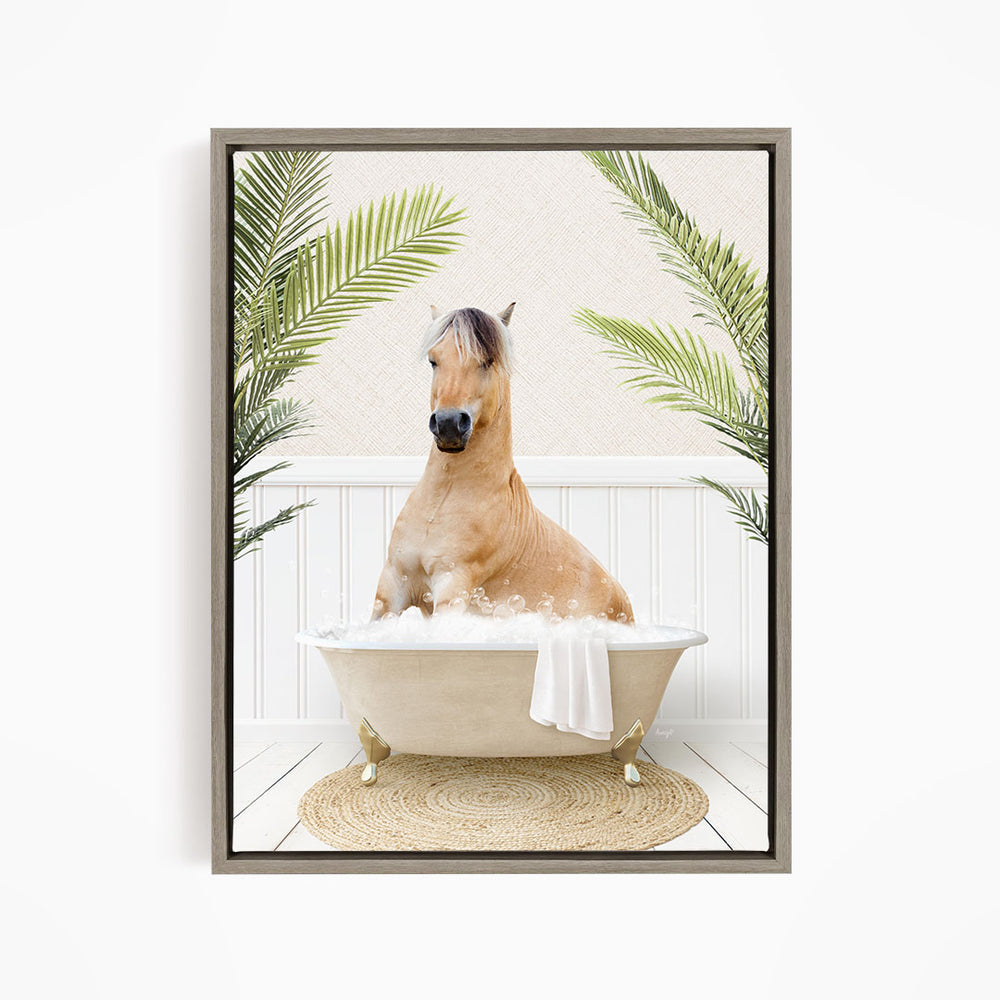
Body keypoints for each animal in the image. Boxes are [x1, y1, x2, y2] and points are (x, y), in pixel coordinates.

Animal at [372, 304, 634, 623]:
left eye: (487, 361)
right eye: (434, 360)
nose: (448, 424)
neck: (442, 501)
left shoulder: (452, 586)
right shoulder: (392, 585)